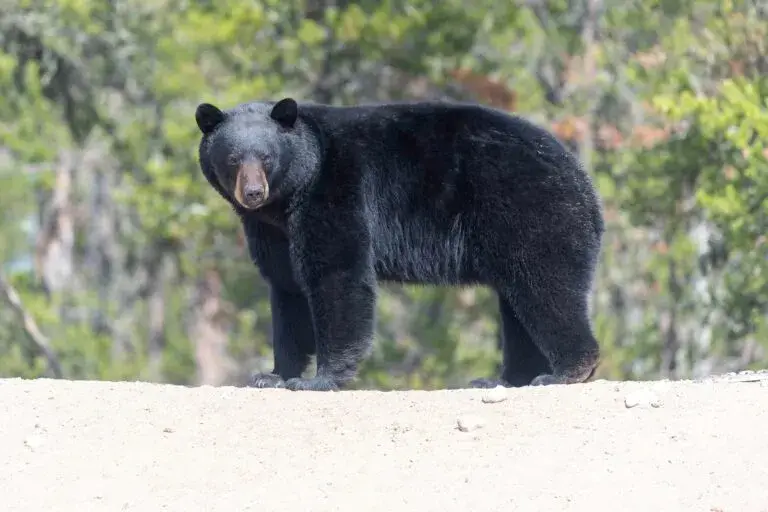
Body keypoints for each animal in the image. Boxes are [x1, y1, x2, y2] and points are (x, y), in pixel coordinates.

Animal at [194, 97, 604, 391]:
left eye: (266, 157)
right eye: (233, 158)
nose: (252, 193)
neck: (289, 197)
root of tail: (585, 184)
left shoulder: (336, 192)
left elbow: (337, 275)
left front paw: (318, 379)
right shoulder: (271, 231)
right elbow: (287, 289)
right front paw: (272, 374)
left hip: (530, 212)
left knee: (546, 288)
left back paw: (564, 371)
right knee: (517, 306)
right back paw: (503, 379)